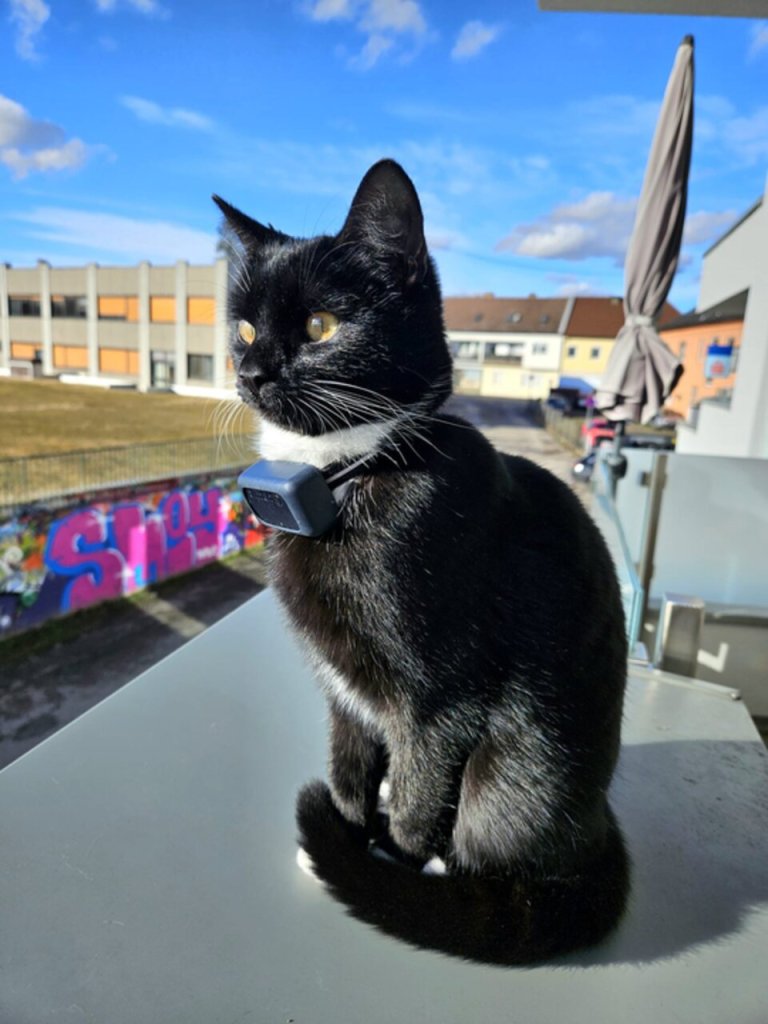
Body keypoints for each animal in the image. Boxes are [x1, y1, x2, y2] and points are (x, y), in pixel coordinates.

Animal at [214, 161, 626, 966]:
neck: (347, 475)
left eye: (320, 326)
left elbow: (415, 796)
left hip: (516, 769)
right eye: (242, 327)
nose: (251, 370)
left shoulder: (443, 699)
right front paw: (345, 833)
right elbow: (348, 763)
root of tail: (593, 840)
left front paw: (390, 865)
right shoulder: (341, 687)